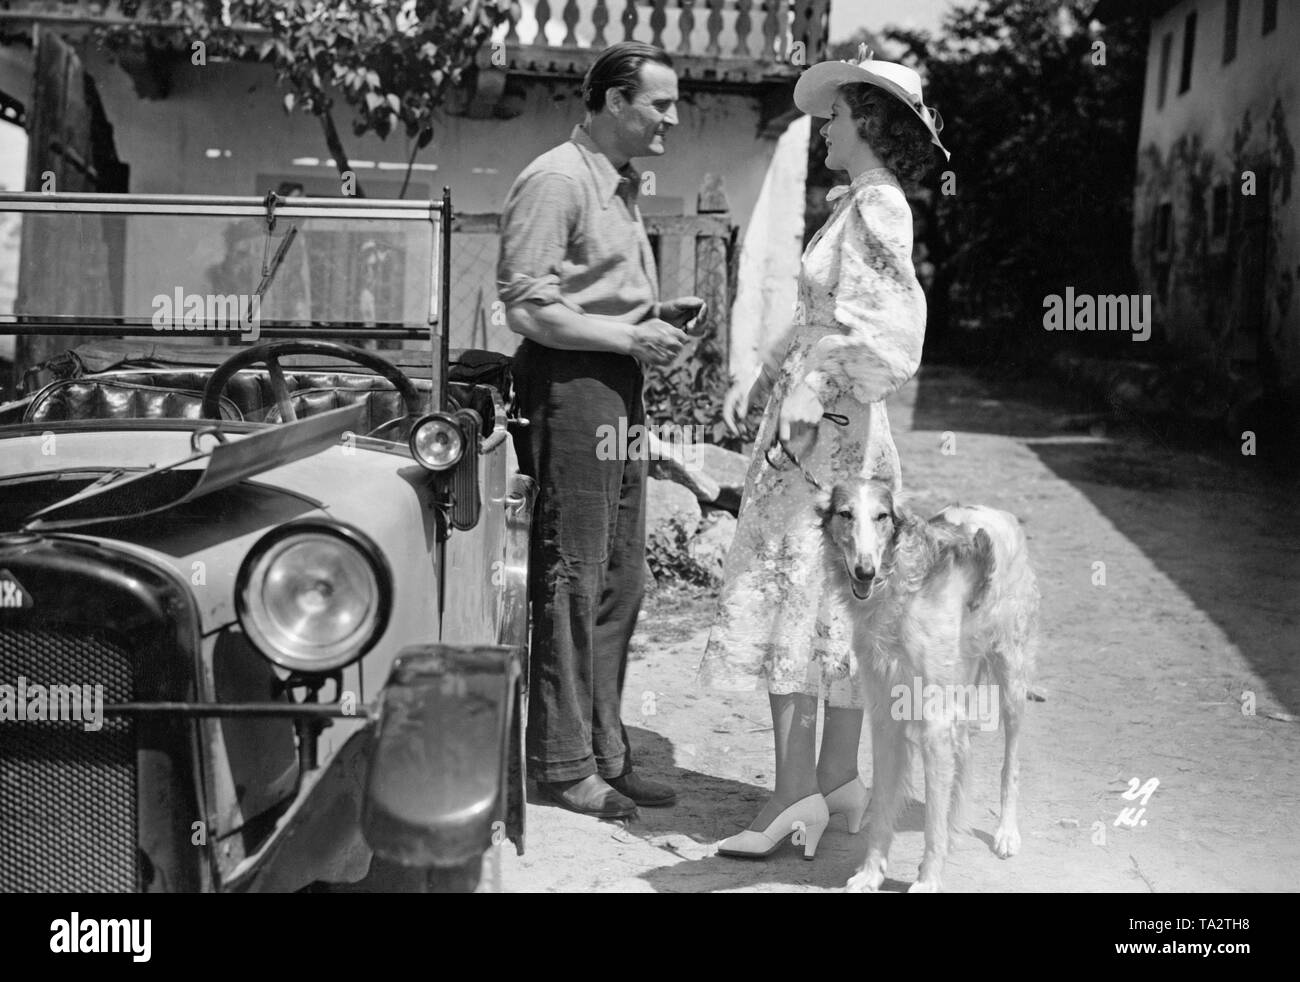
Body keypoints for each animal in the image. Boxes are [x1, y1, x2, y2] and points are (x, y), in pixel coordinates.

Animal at [816, 481, 1040, 894]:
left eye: (881, 516)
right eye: (845, 514)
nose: (865, 571)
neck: (899, 590)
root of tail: (999, 513)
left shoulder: (934, 722)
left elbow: (932, 821)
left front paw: (928, 879)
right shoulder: (885, 716)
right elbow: (883, 807)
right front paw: (870, 874)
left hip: (1011, 680)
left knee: (1010, 764)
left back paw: (1006, 834)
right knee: (964, 754)